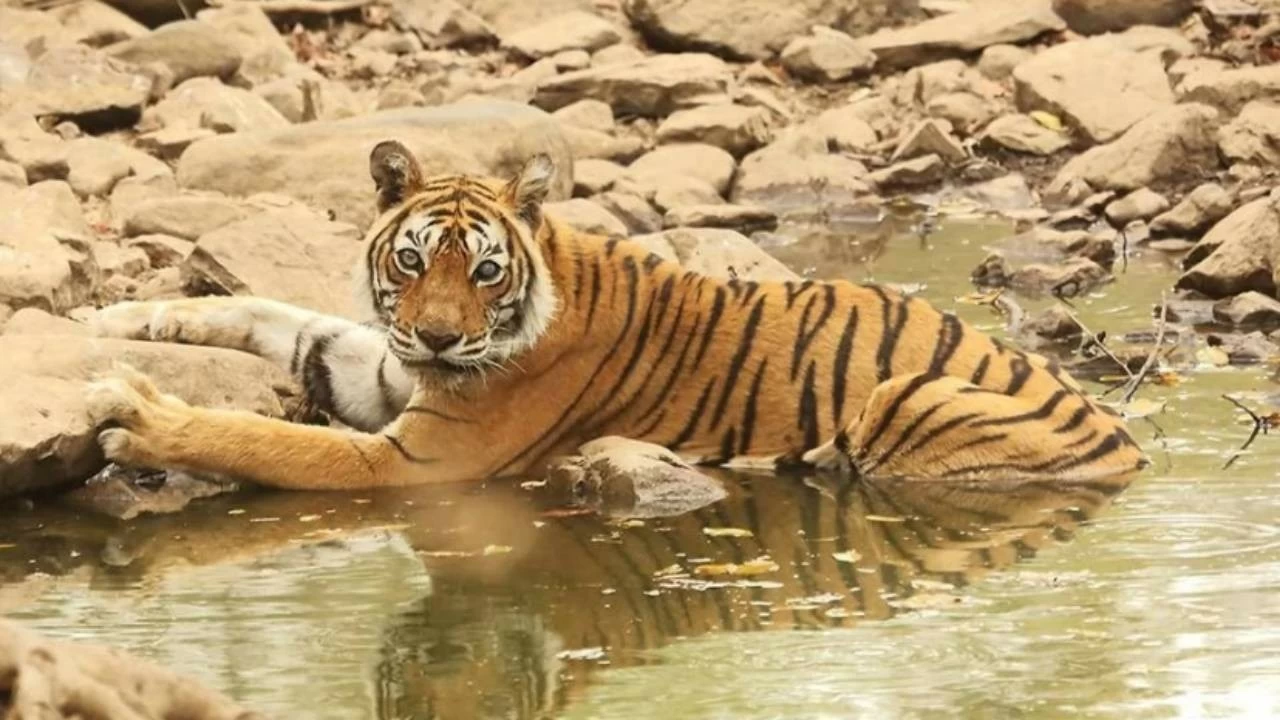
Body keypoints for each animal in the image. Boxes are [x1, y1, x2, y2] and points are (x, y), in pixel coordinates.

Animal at [84, 140, 1150, 490]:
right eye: (413, 260)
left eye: (485, 271)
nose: (437, 335)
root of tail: (1135, 448)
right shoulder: (376, 362)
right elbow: (263, 311)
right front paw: (122, 315)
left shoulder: (418, 464)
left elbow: (263, 438)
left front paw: (138, 418)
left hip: (907, 394)